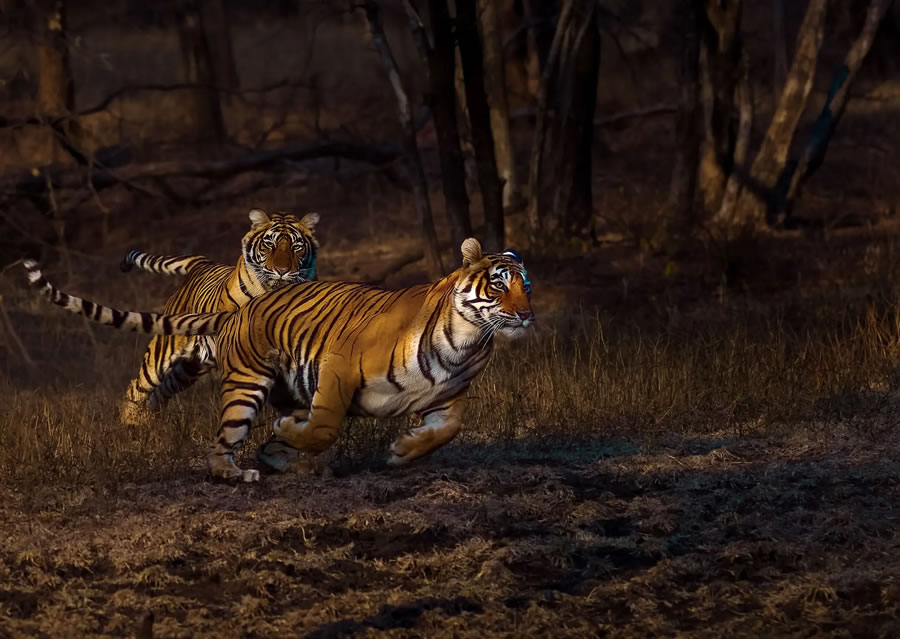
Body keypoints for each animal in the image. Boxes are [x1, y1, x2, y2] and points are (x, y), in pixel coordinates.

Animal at [22, 239, 536, 480]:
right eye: (498, 285)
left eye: (525, 285)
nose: (527, 315)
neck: (466, 341)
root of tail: (238, 310)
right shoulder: (339, 366)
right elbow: (324, 425)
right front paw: (297, 435)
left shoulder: (450, 398)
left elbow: (449, 430)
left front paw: (402, 452)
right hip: (241, 385)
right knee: (217, 442)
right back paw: (238, 471)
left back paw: (291, 459)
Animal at [118, 210, 318, 428]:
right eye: (268, 245)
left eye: (296, 247)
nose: (282, 271)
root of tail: (202, 263)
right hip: (165, 349)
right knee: (138, 386)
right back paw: (130, 425)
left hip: (190, 368)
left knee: (162, 390)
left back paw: (152, 422)